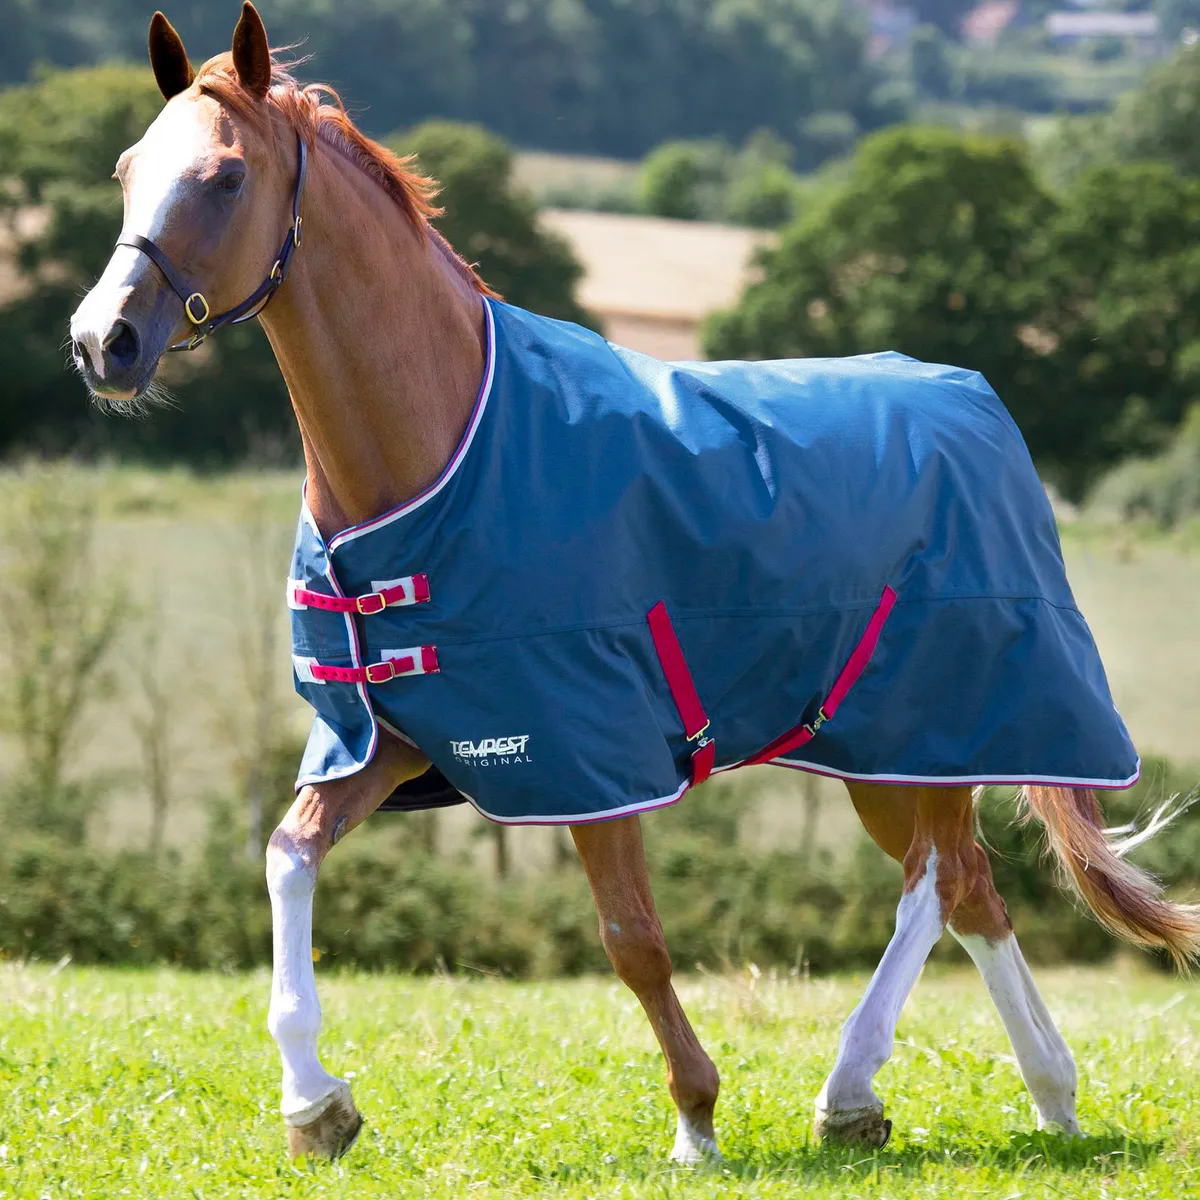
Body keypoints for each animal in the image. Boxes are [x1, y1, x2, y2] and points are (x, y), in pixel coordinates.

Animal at [69, 3, 1200, 1164]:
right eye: (127, 170)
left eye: (226, 177)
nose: (101, 342)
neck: (442, 447)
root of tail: (978, 408)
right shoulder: (391, 738)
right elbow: (287, 856)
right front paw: (316, 1106)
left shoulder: (591, 748)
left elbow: (633, 938)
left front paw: (696, 1117)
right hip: (889, 753)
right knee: (970, 886)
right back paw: (1050, 1095)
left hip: (934, 720)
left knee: (931, 884)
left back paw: (852, 1089)